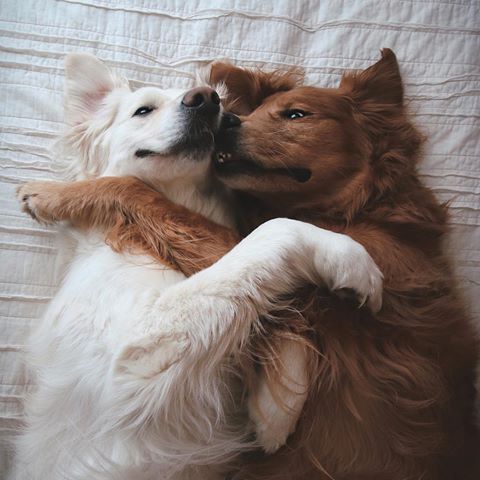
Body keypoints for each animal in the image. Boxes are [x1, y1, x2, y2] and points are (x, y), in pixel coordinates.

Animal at [16, 49, 478, 480]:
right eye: (143, 109)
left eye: (295, 114)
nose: (210, 100)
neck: (362, 210)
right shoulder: (135, 357)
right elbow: (271, 239)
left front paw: (276, 406)